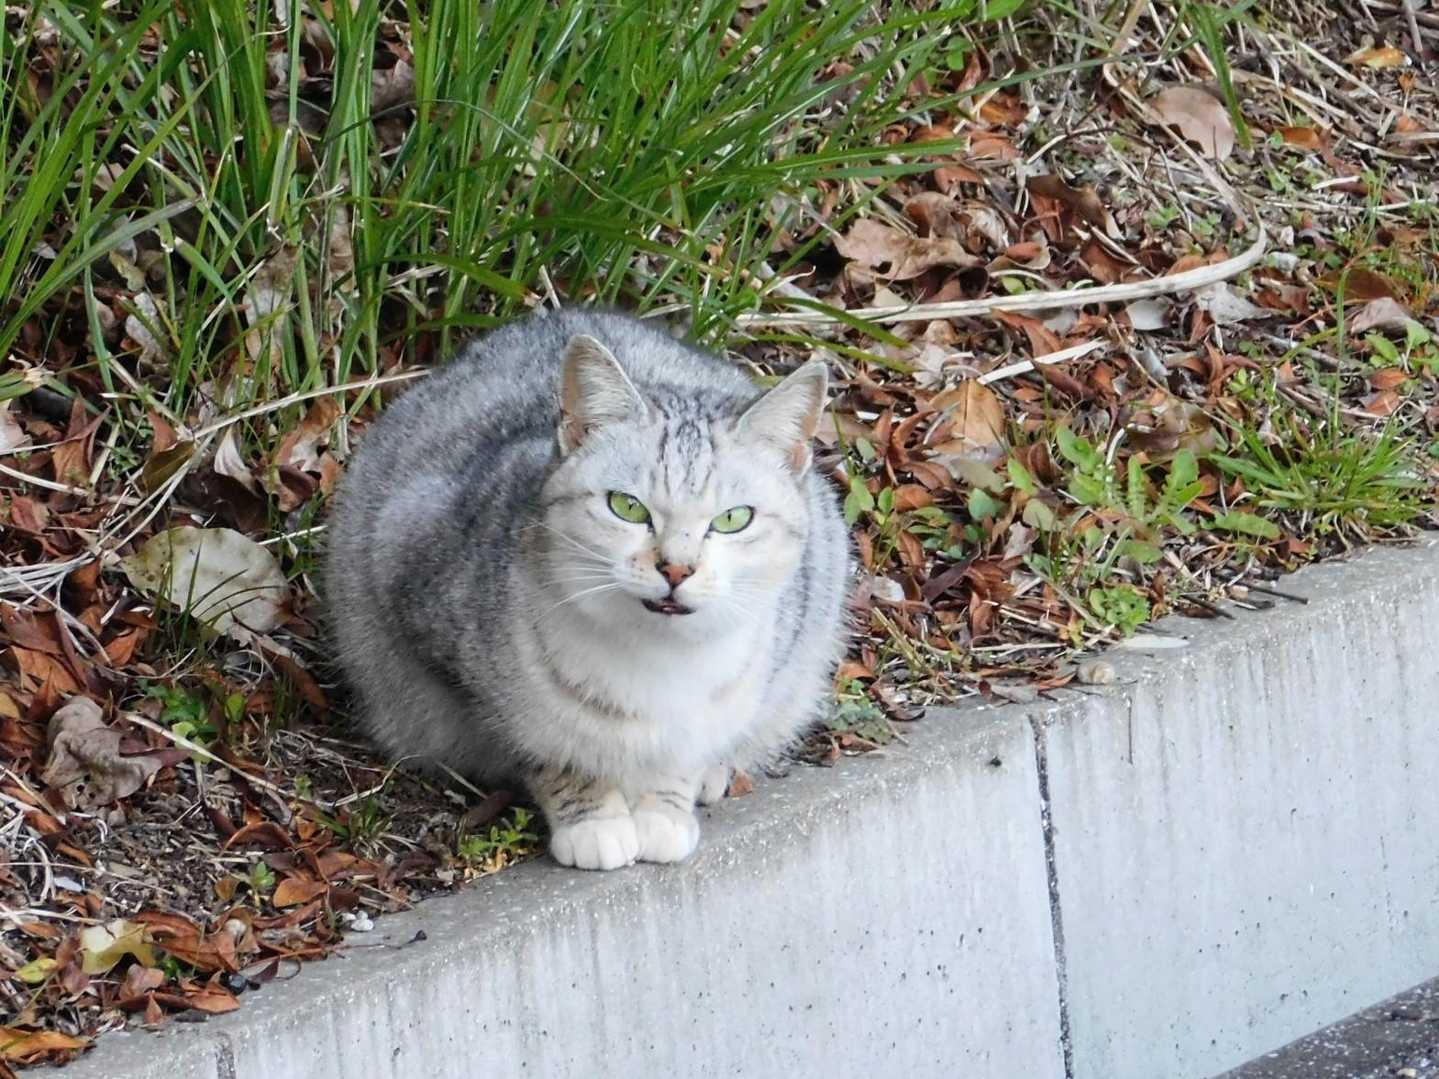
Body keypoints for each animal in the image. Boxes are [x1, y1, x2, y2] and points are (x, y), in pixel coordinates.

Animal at [323, 310, 851, 870]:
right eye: (628, 507)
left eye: (733, 519)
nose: (676, 568)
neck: (657, 658)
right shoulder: (456, 658)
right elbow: (549, 755)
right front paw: (595, 822)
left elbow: (682, 754)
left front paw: (665, 809)